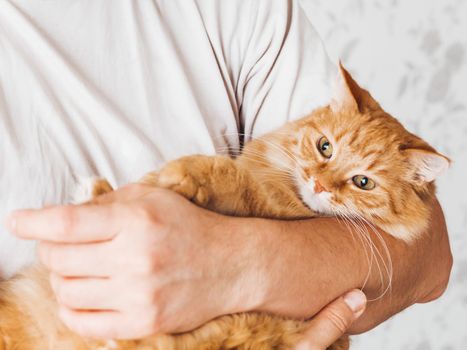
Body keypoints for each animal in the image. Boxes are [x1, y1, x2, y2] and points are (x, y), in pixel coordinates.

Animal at [0, 64, 450, 348]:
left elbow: (230, 178)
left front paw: (178, 174)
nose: (319, 183)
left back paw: (93, 192)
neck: (285, 184)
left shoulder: (275, 205)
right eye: (325, 147)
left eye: (362, 182)